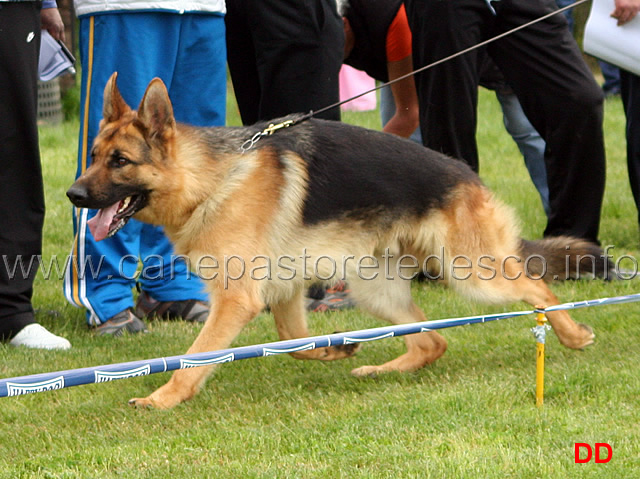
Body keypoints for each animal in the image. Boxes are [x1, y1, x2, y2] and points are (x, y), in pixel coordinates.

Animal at [67, 74, 608, 408]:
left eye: (120, 161)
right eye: (92, 156)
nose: (73, 195)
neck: (211, 180)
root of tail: (469, 177)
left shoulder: (237, 300)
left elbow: (194, 359)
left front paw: (162, 398)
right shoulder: (281, 291)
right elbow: (292, 343)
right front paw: (334, 350)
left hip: (473, 275)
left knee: (537, 288)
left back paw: (572, 335)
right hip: (376, 288)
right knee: (433, 339)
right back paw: (382, 369)